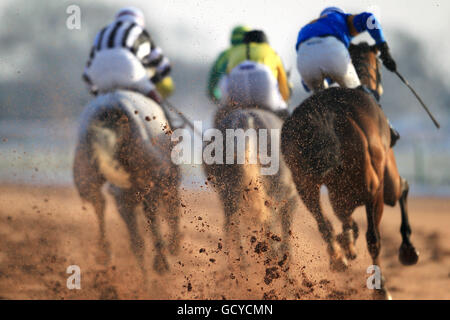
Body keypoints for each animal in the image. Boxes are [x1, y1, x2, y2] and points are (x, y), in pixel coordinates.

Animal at [73, 90, 180, 278]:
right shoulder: (166, 180)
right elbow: (170, 210)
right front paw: (172, 246)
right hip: (151, 180)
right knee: (153, 214)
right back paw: (161, 261)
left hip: (87, 175)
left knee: (100, 204)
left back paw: (105, 253)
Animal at [284, 42, 420, 300]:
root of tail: (325, 113)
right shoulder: (384, 180)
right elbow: (403, 188)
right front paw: (408, 250)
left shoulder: (340, 194)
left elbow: (345, 221)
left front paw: (346, 243)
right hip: (374, 189)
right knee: (374, 238)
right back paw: (381, 287)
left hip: (303, 182)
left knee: (322, 222)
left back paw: (338, 258)